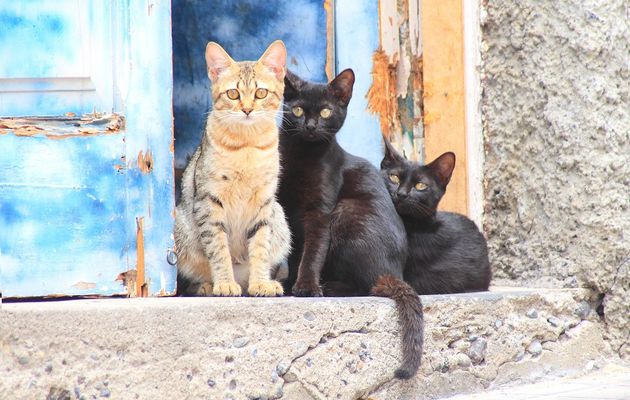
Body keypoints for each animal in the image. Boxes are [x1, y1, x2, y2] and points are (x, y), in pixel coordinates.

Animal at [177, 40, 292, 296]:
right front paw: (224, 283)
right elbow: (218, 249)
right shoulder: (209, 202)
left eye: (260, 93)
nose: (247, 109)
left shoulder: (264, 202)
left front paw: (260, 283)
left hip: (279, 217)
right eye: (233, 93)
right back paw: (208, 285)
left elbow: (260, 247)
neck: (246, 145)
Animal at [280, 69, 424, 378]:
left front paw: (307, 287)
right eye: (297, 110)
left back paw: (330, 286)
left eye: (325, 111)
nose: (310, 126)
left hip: (346, 213)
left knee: (368, 286)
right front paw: (289, 283)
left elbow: (312, 252)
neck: (301, 154)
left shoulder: (320, 212)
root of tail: (394, 272)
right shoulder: (287, 211)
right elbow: (296, 252)